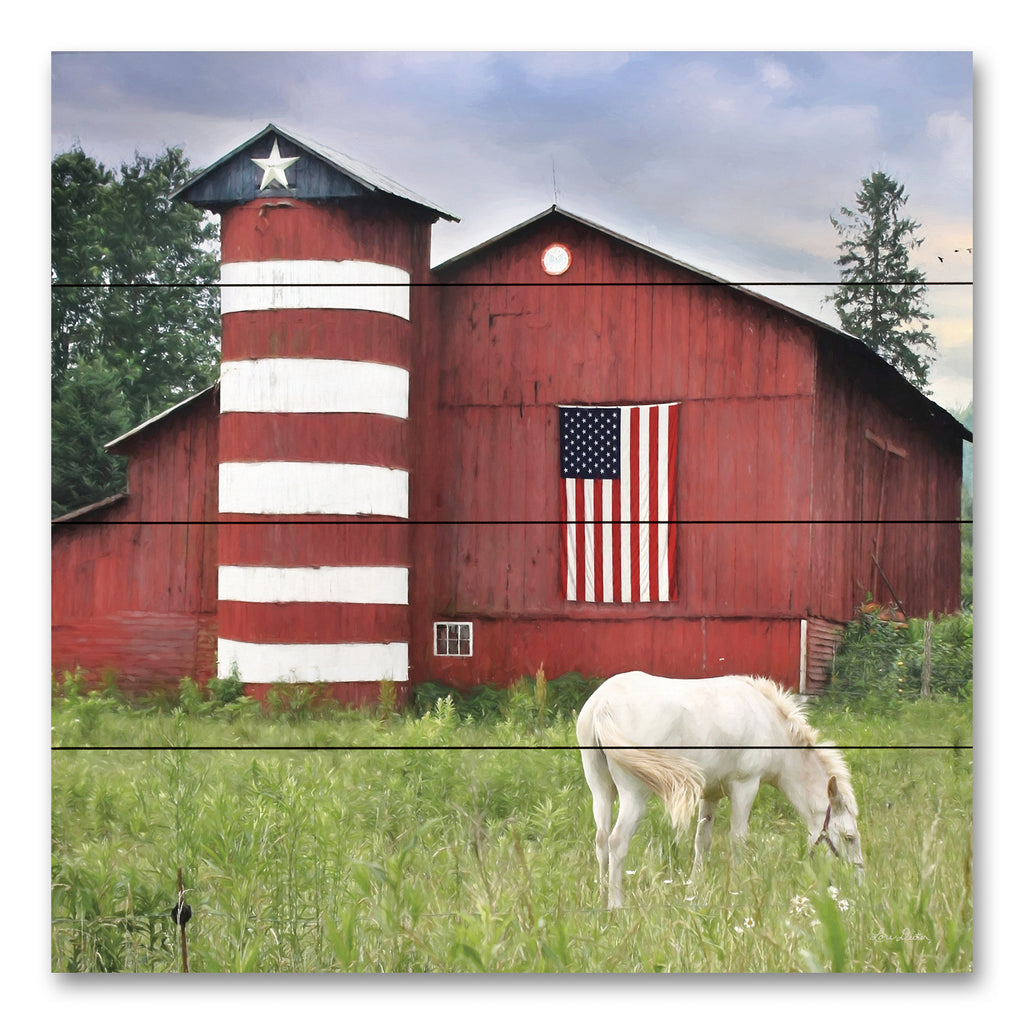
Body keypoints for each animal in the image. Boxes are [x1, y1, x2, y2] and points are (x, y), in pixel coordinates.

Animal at [581, 675, 860, 909]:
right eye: (849, 837)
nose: (857, 879)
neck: (768, 721)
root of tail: (603, 704)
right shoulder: (746, 786)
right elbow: (738, 840)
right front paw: (736, 889)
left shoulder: (710, 795)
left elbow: (701, 842)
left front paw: (694, 889)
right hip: (634, 796)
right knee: (617, 841)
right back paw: (616, 905)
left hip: (601, 791)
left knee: (601, 839)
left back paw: (602, 898)